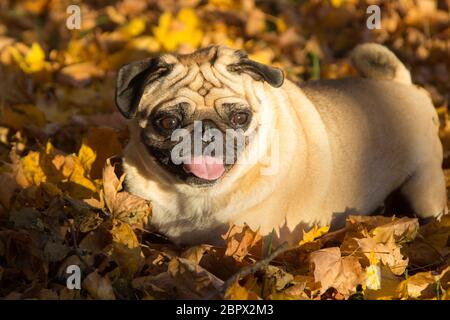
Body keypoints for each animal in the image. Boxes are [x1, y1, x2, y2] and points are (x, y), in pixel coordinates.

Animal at [116, 43, 446, 245]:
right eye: (168, 122)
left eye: (240, 117)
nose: (206, 131)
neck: (195, 199)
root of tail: (402, 84)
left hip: (425, 186)